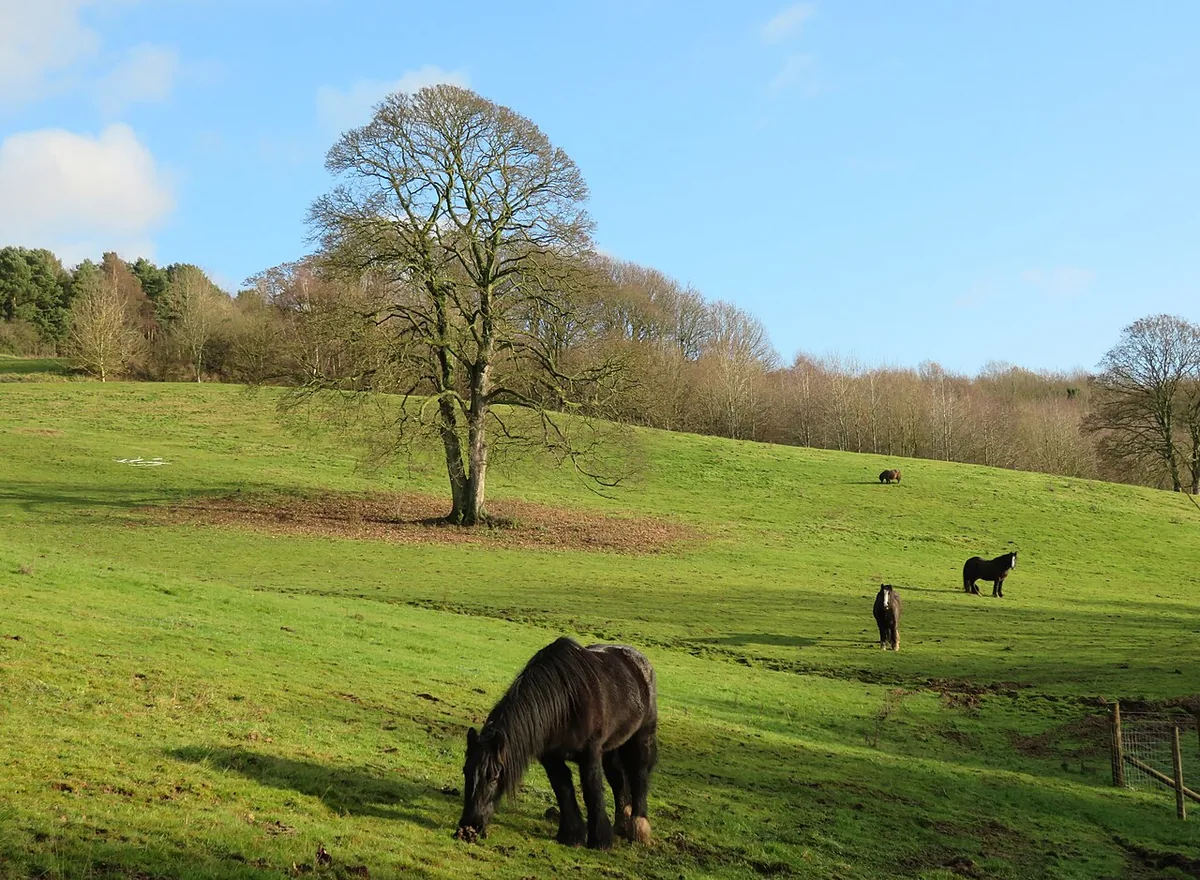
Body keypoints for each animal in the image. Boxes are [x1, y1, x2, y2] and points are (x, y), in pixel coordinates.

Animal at [455, 637, 658, 850]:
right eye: (465, 771)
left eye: (494, 777)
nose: (469, 827)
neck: (566, 704)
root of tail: (640, 661)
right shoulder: (551, 758)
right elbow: (563, 790)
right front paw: (572, 836)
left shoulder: (591, 753)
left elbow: (592, 792)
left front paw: (600, 840)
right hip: (612, 746)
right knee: (618, 778)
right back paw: (621, 825)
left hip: (642, 737)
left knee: (639, 775)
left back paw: (638, 829)